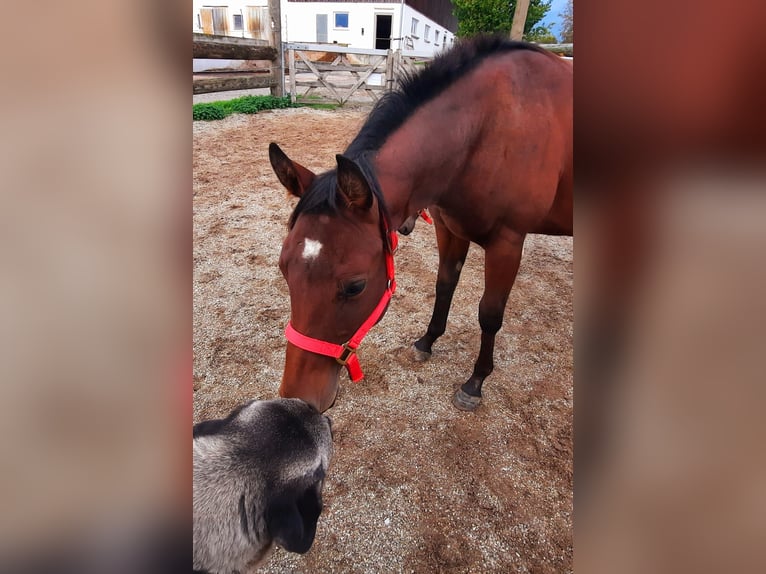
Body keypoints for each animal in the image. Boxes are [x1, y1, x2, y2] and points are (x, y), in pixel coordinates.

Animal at [268, 36, 568, 414]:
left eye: (355, 287)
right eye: (283, 269)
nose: (296, 399)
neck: (490, 128)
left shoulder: (508, 242)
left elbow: (490, 313)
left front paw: (475, 382)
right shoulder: (449, 228)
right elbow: (445, 285)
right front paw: (427, 341)